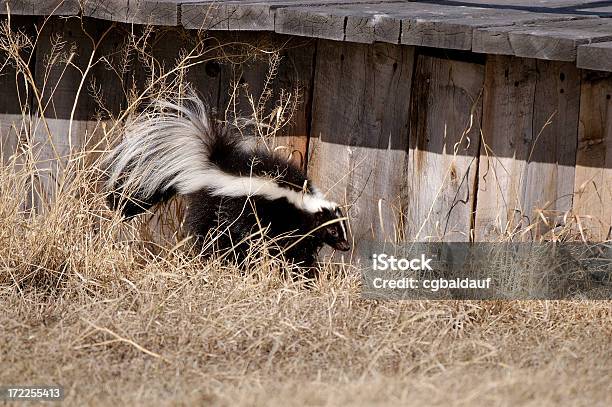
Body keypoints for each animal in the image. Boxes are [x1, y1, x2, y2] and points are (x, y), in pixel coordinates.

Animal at [105, 91, 350, 270]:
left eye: (343, 228)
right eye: (333, 231)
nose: (346, 246)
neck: (301, 199)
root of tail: (210, 166)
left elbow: (301, 248)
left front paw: (306, 270)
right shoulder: (280, 218)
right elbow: (285, 246)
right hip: (215, 207)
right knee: (212, 234)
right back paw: (212, 257)